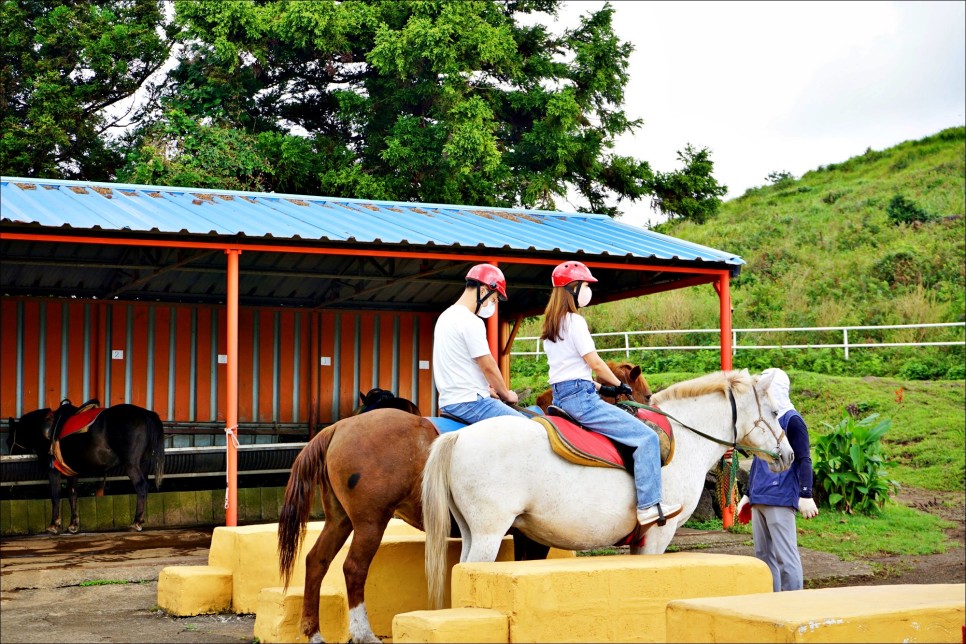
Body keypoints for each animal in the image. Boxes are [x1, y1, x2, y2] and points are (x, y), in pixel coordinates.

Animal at [6, 398, 165, 532]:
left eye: (8, 441)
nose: (10, 454)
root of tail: (145, 414)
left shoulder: (53, 470)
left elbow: (55, 494)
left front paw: (54, 524)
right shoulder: (71, 471)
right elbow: (72, 494)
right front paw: (73, 524)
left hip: (131, 464)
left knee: (141, 486)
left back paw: (136, 521)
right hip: (143, 464)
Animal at [276, 362, 652, 644]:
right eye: (646, 394)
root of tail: (339, 429)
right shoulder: (529, 534)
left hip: (340, 519)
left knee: (316, 560)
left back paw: (313, 631)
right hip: (370, 521)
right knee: (353, 568)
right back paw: (362, 633)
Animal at [424, 370, 796, 608]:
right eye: (775, 410)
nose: (789, 455)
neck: (684, 437)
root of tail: (458, 437)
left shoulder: (640, 539)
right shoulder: (659, 533)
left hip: (471, 532)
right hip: (489, 533)